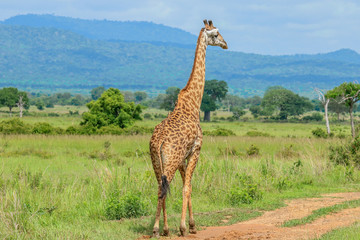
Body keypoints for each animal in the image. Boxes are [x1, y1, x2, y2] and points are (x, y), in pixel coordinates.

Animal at [149, 19, 228, 237]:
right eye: (216, 33)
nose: (225, 44)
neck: (193, 104)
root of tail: (159, 142)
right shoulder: (196, 150)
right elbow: (188, 187)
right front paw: (186, 227)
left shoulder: (183, 158)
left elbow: (186, 185)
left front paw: (189, 225)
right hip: (170, 161)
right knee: (165, 188)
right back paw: (159, 229)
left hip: (156, 161)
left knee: (160, 187)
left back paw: (163, 229)